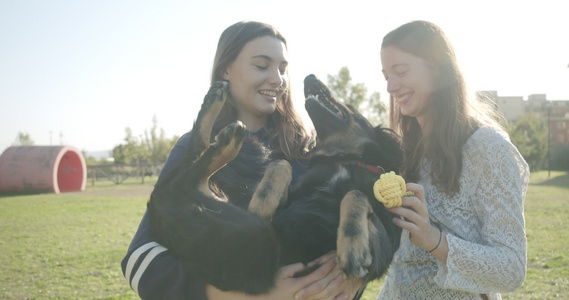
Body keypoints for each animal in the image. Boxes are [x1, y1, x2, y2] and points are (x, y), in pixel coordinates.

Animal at [148, 75, 404, 296]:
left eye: (350, 106)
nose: (309, 77)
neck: (346, 159)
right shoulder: (289, 199)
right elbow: (281, 164)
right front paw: (263, 200)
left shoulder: (383, 245)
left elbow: (355, 193)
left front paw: (352, 249)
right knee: (191, 160)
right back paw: (219, 109)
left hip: (244, 236)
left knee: (189, 167)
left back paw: (225, 129)